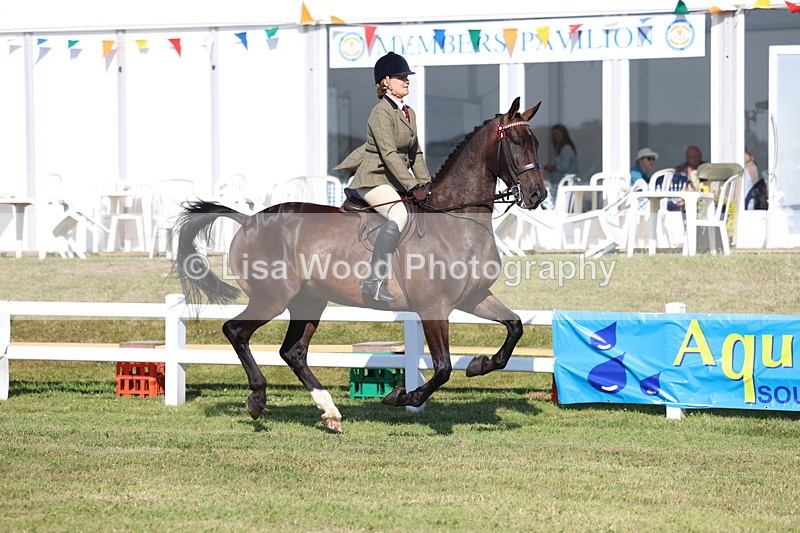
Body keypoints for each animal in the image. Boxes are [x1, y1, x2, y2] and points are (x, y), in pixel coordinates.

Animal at [173, 97, 546, 432]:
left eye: (535, 143)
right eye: (516, 142)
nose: (537, 195)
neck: (456, 220)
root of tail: (248, 219)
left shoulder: (474, 297)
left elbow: (514, 327)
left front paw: (480, 364)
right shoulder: (433, 307)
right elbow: (442, 367)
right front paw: (400, 396)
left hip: (308, 301)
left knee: (293, 352)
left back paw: (331, 413)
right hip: (273, 298)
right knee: (236, 332)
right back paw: (258, 399)